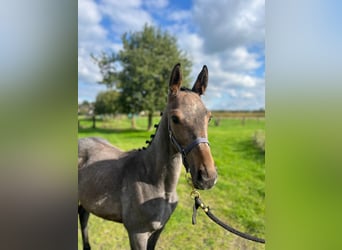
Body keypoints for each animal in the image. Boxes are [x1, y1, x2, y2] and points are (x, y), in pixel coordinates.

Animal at [78, 63, 216, 249]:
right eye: (175, 118)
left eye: (209, 118)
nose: (207, 177)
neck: (153, 181)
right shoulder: (138, 234)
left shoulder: (158, 230)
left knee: (83, 216)